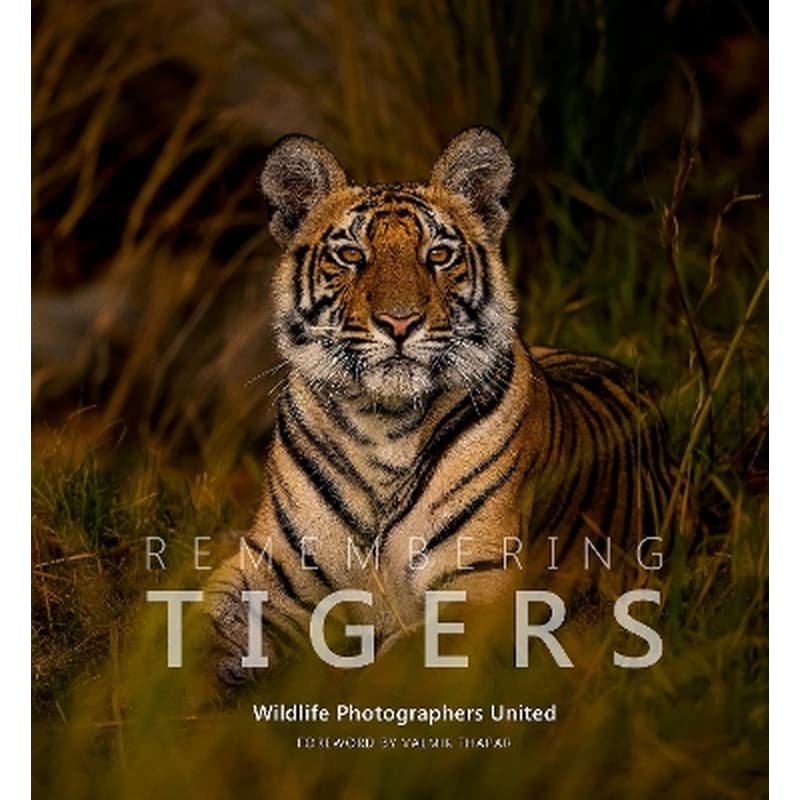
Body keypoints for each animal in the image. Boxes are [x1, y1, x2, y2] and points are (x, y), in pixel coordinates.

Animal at [205, 127, 679, 687]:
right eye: (350, 256)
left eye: (438, 255)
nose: (400, 321)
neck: (381, 424)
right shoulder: (267, 567)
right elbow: (200, 634)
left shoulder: (477, 589)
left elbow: (393, 670)